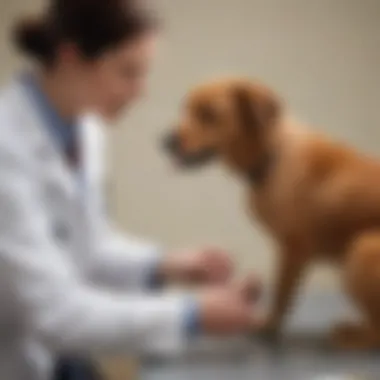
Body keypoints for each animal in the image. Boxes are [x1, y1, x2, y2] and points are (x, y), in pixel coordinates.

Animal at [163, 77, 380, 350]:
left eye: (209, 114)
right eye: (186, 109)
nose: (164, 140)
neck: (272, 156)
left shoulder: (293, 248)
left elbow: (281, 294)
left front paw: (269, 327)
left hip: (363, 248)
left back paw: (350, 335)